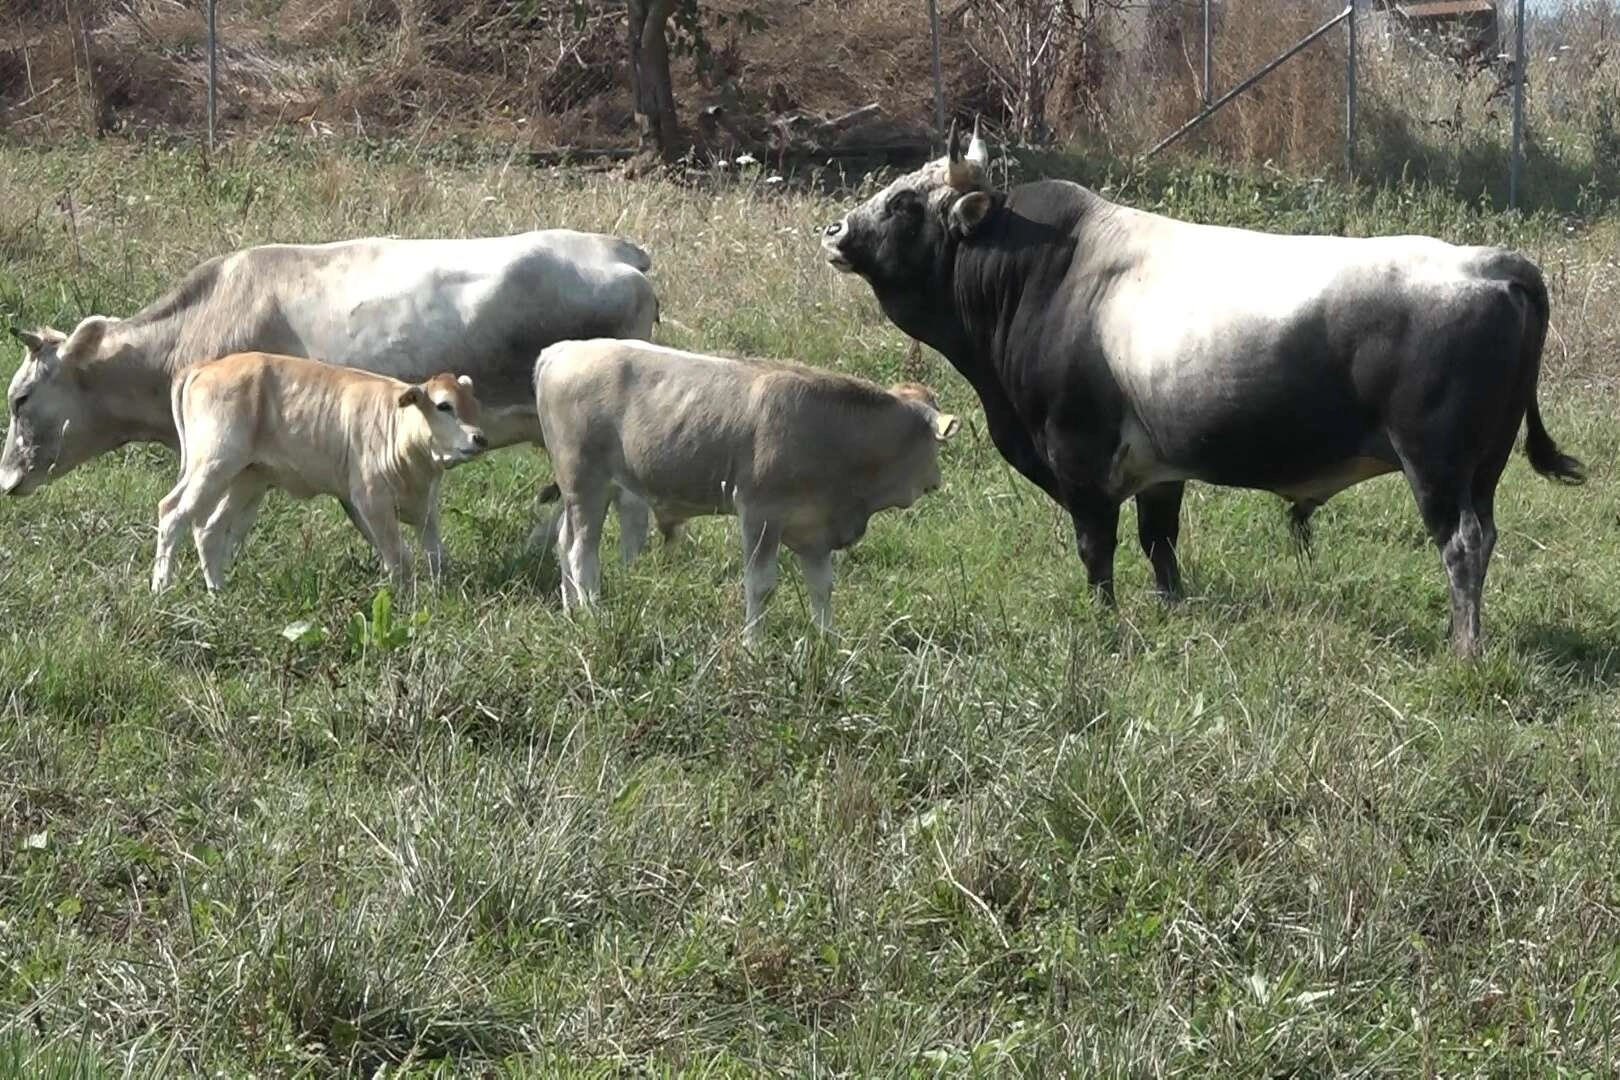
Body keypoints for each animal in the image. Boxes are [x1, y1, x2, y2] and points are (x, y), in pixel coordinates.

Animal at [152, 352, 486, 592]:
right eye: (444, 406)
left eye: (474, 404)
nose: (479, 438)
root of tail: (207, 365)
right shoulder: (370, 500)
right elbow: (398, 556)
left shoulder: (426, 506)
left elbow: (436, 555)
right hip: (213, 463)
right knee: (172, 513)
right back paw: (161, 587)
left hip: (248, 478)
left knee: (209, 528)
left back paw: (217, 590)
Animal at [822, 122, 1581, 654]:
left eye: (904, 202)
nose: (834, 230)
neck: (1044, 273)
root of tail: (1491, 263)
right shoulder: (1160, 467)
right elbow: (1161, 543)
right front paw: (1171, 610)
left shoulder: (1079, 454)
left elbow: (1097, 547)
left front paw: (1105, 621)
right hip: (1484, 467)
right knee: (1485, 536)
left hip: (1436, 463)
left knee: (1462, 545)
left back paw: (1464, 648)